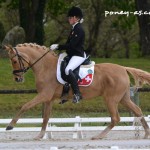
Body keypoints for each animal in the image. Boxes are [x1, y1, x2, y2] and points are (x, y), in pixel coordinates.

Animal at [4, 43, 150, 139]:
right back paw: (146, 134)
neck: (45, 66)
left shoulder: (44, 95)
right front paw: (40, 135)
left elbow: (25, 106)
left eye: (15, 60)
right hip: (123, 98)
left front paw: (10, 126)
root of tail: (123, 68)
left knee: (116, 118)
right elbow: (46, 117)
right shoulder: (49, 98)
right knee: (137, 111)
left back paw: (98, 136)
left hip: (111, 99)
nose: (17, 78)